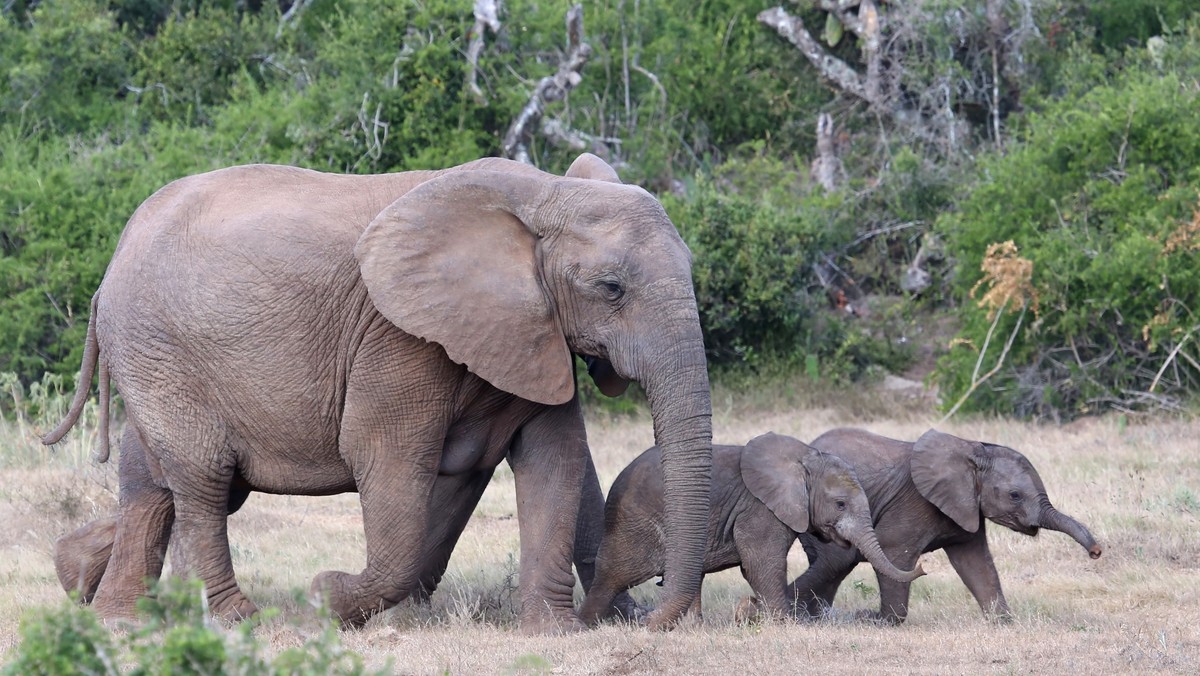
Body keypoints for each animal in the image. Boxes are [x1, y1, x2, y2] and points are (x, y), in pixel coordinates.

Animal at [46, 153, 710, 633]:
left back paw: (98, 601)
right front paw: (325, 597)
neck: (542, 194)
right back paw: (240, 621)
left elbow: (554, 459)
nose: (653, 614)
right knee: (205, 482)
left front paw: (553, 633)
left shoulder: (531, 330)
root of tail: (111, 267)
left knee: (158, 481)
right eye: (611, 288)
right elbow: (390, 461)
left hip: (155, 359)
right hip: (162, 352)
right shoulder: (396, 339)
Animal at [576, 434, 921, 624]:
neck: (804, 460)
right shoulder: (759, 509)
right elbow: (760, 565)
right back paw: (587, 624)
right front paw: (787, 623)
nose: (922, 567)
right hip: (635, 523)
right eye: (840, 504)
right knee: (615, 573)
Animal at [792, 427, 1099, 624]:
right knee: (836, 562)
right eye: (1015, 495)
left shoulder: (966, 508)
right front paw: (877, 621)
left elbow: (976, 563)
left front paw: (1004, 622)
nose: (1096, 552)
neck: (972, 448)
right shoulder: (915, 502)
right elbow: (894, 553)